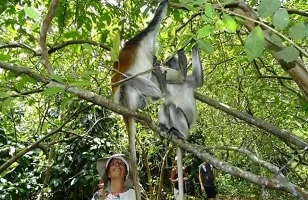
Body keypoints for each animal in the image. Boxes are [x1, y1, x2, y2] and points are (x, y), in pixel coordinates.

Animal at [159, 45, 205, 200]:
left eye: (170, 62)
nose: (167, 66)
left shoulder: (188, 80)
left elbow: (199, 80)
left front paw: (193, 47)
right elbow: (161, 93)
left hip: (186, 125)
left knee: (172, 107)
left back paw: (180, 135)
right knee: (166, 106)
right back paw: (165, 129)